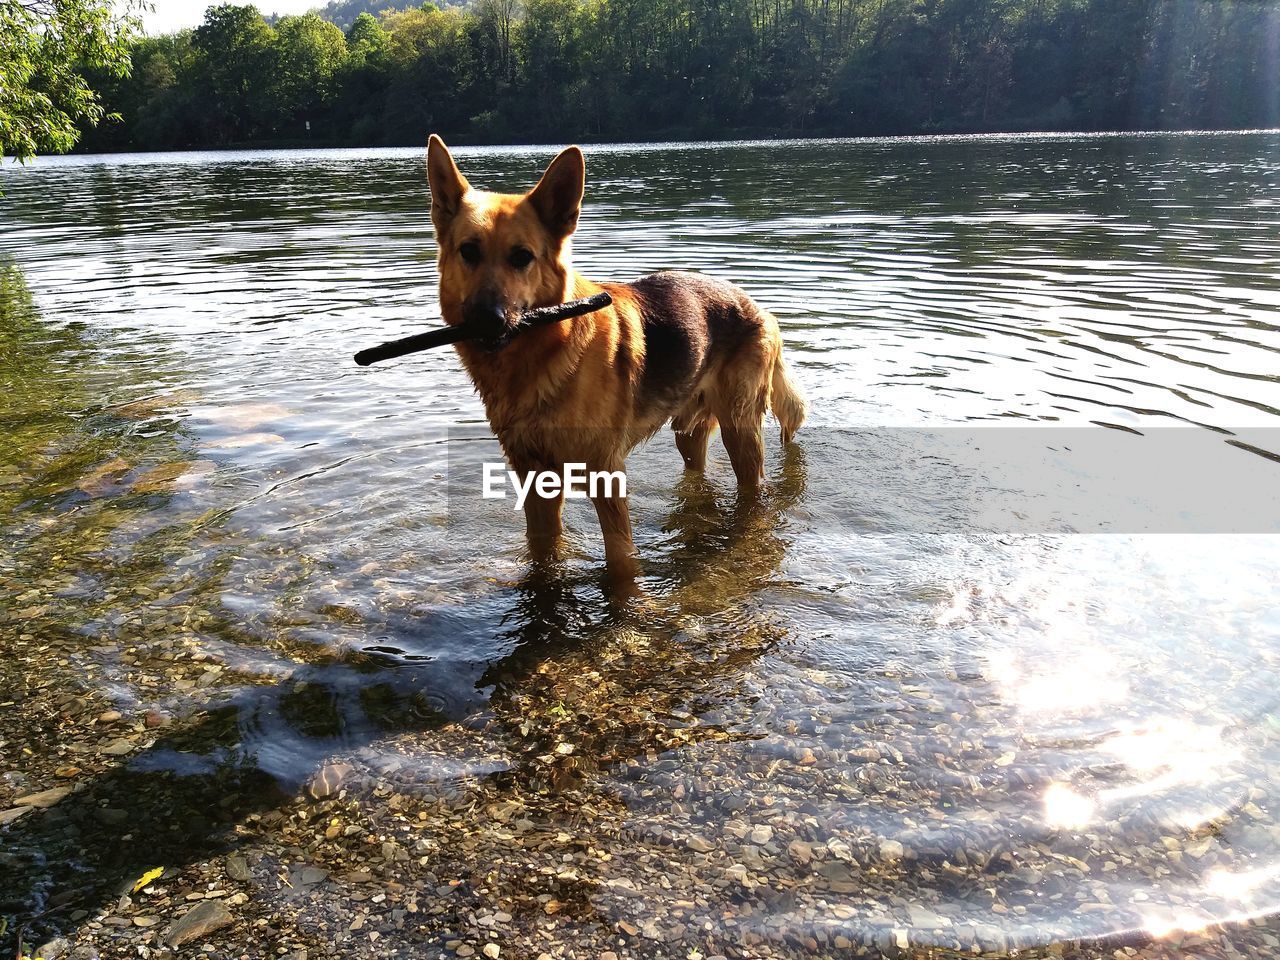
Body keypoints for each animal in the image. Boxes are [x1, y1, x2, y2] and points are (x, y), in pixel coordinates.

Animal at [430, 135, 808, 586]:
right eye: (468, 252)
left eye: (522, 257)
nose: (487, 321)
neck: (542, 358)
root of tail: (755, 304)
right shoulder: (535, 479)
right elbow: (543, 552)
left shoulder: (606, 477)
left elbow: (621, 562)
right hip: (688, 433)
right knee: (696, 470)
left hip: (741, 434)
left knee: (753, 493)